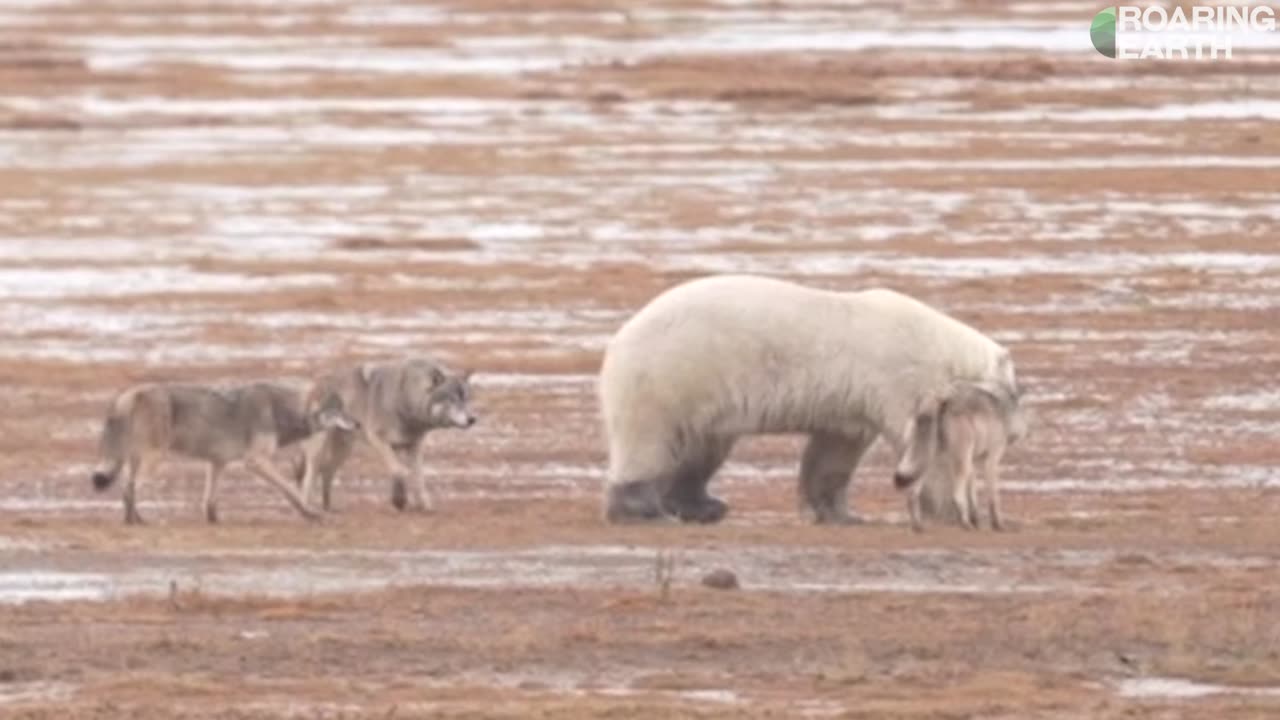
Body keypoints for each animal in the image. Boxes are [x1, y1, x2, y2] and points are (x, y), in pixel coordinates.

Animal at [596, 272, 1018, 520]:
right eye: (1017, 392)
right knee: (650, 440)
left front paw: (840, 514)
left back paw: (705, 506)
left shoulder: (851, 402)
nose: (1017, 434)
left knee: (702, 448)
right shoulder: (903, 379)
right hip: (673, 375)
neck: (944, 349)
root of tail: (619, 341)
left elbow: (835, 451)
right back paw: (646, 509)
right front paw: (949, 509)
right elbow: (929, 447)